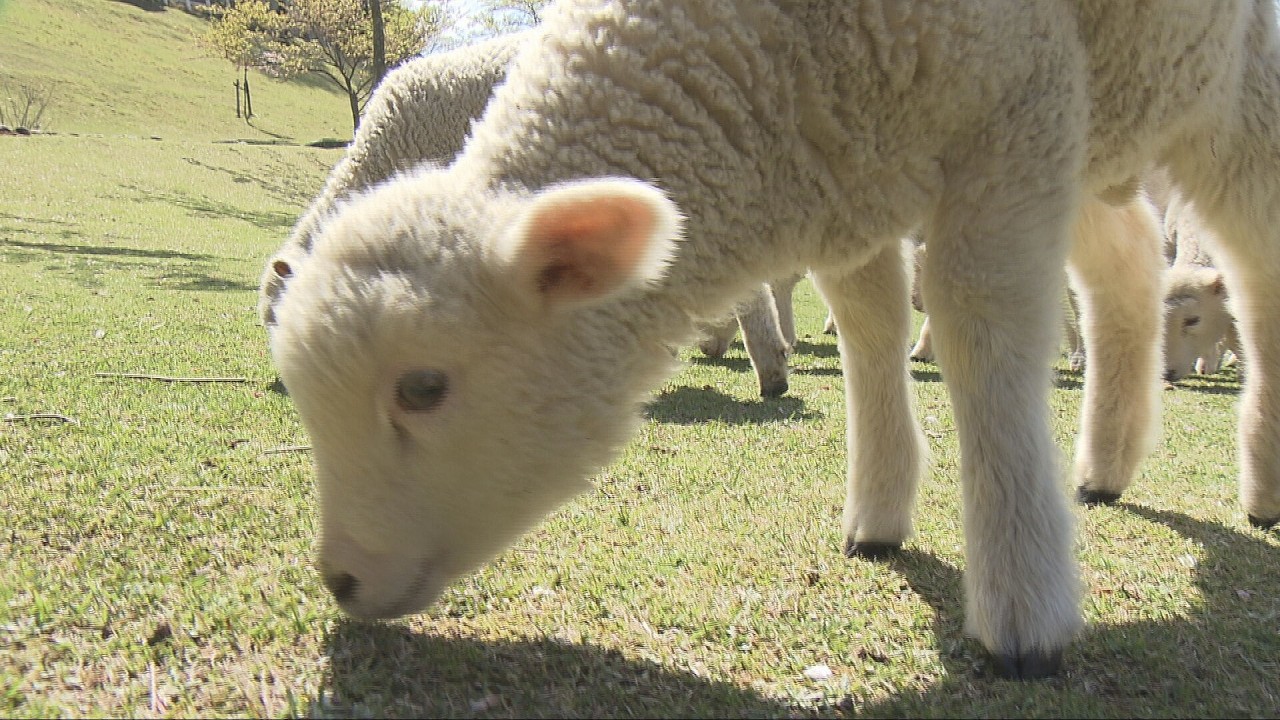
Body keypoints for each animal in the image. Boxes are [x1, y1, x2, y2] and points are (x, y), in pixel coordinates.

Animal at [267, 0, 1280, 680]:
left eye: (423, 387)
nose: (340, 581)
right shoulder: (858, 155)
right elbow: (871, 323)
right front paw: (878, 518)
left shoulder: (1015, 103)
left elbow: (981, 326)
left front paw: (1024, 610)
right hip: (1111, 123)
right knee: (1127, 266)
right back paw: (1106, 463)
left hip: (1226, 89)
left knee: (1257, 267)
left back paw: (1261, 481)